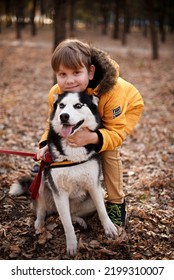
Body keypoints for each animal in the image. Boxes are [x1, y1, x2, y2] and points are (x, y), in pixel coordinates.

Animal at [9, 92, 118, 256]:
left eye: (78, 105)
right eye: (62, 105)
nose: (64, 116)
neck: (73, 151)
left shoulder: (94, 186)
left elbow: (102, 210)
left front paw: (109, 227)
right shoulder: (59, 193)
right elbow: (66, 224)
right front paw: (72, 245)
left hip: (99, 192)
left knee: (72, 213)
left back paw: (79, 220)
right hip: (42, 183)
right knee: (42, 209)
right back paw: (40, 223)